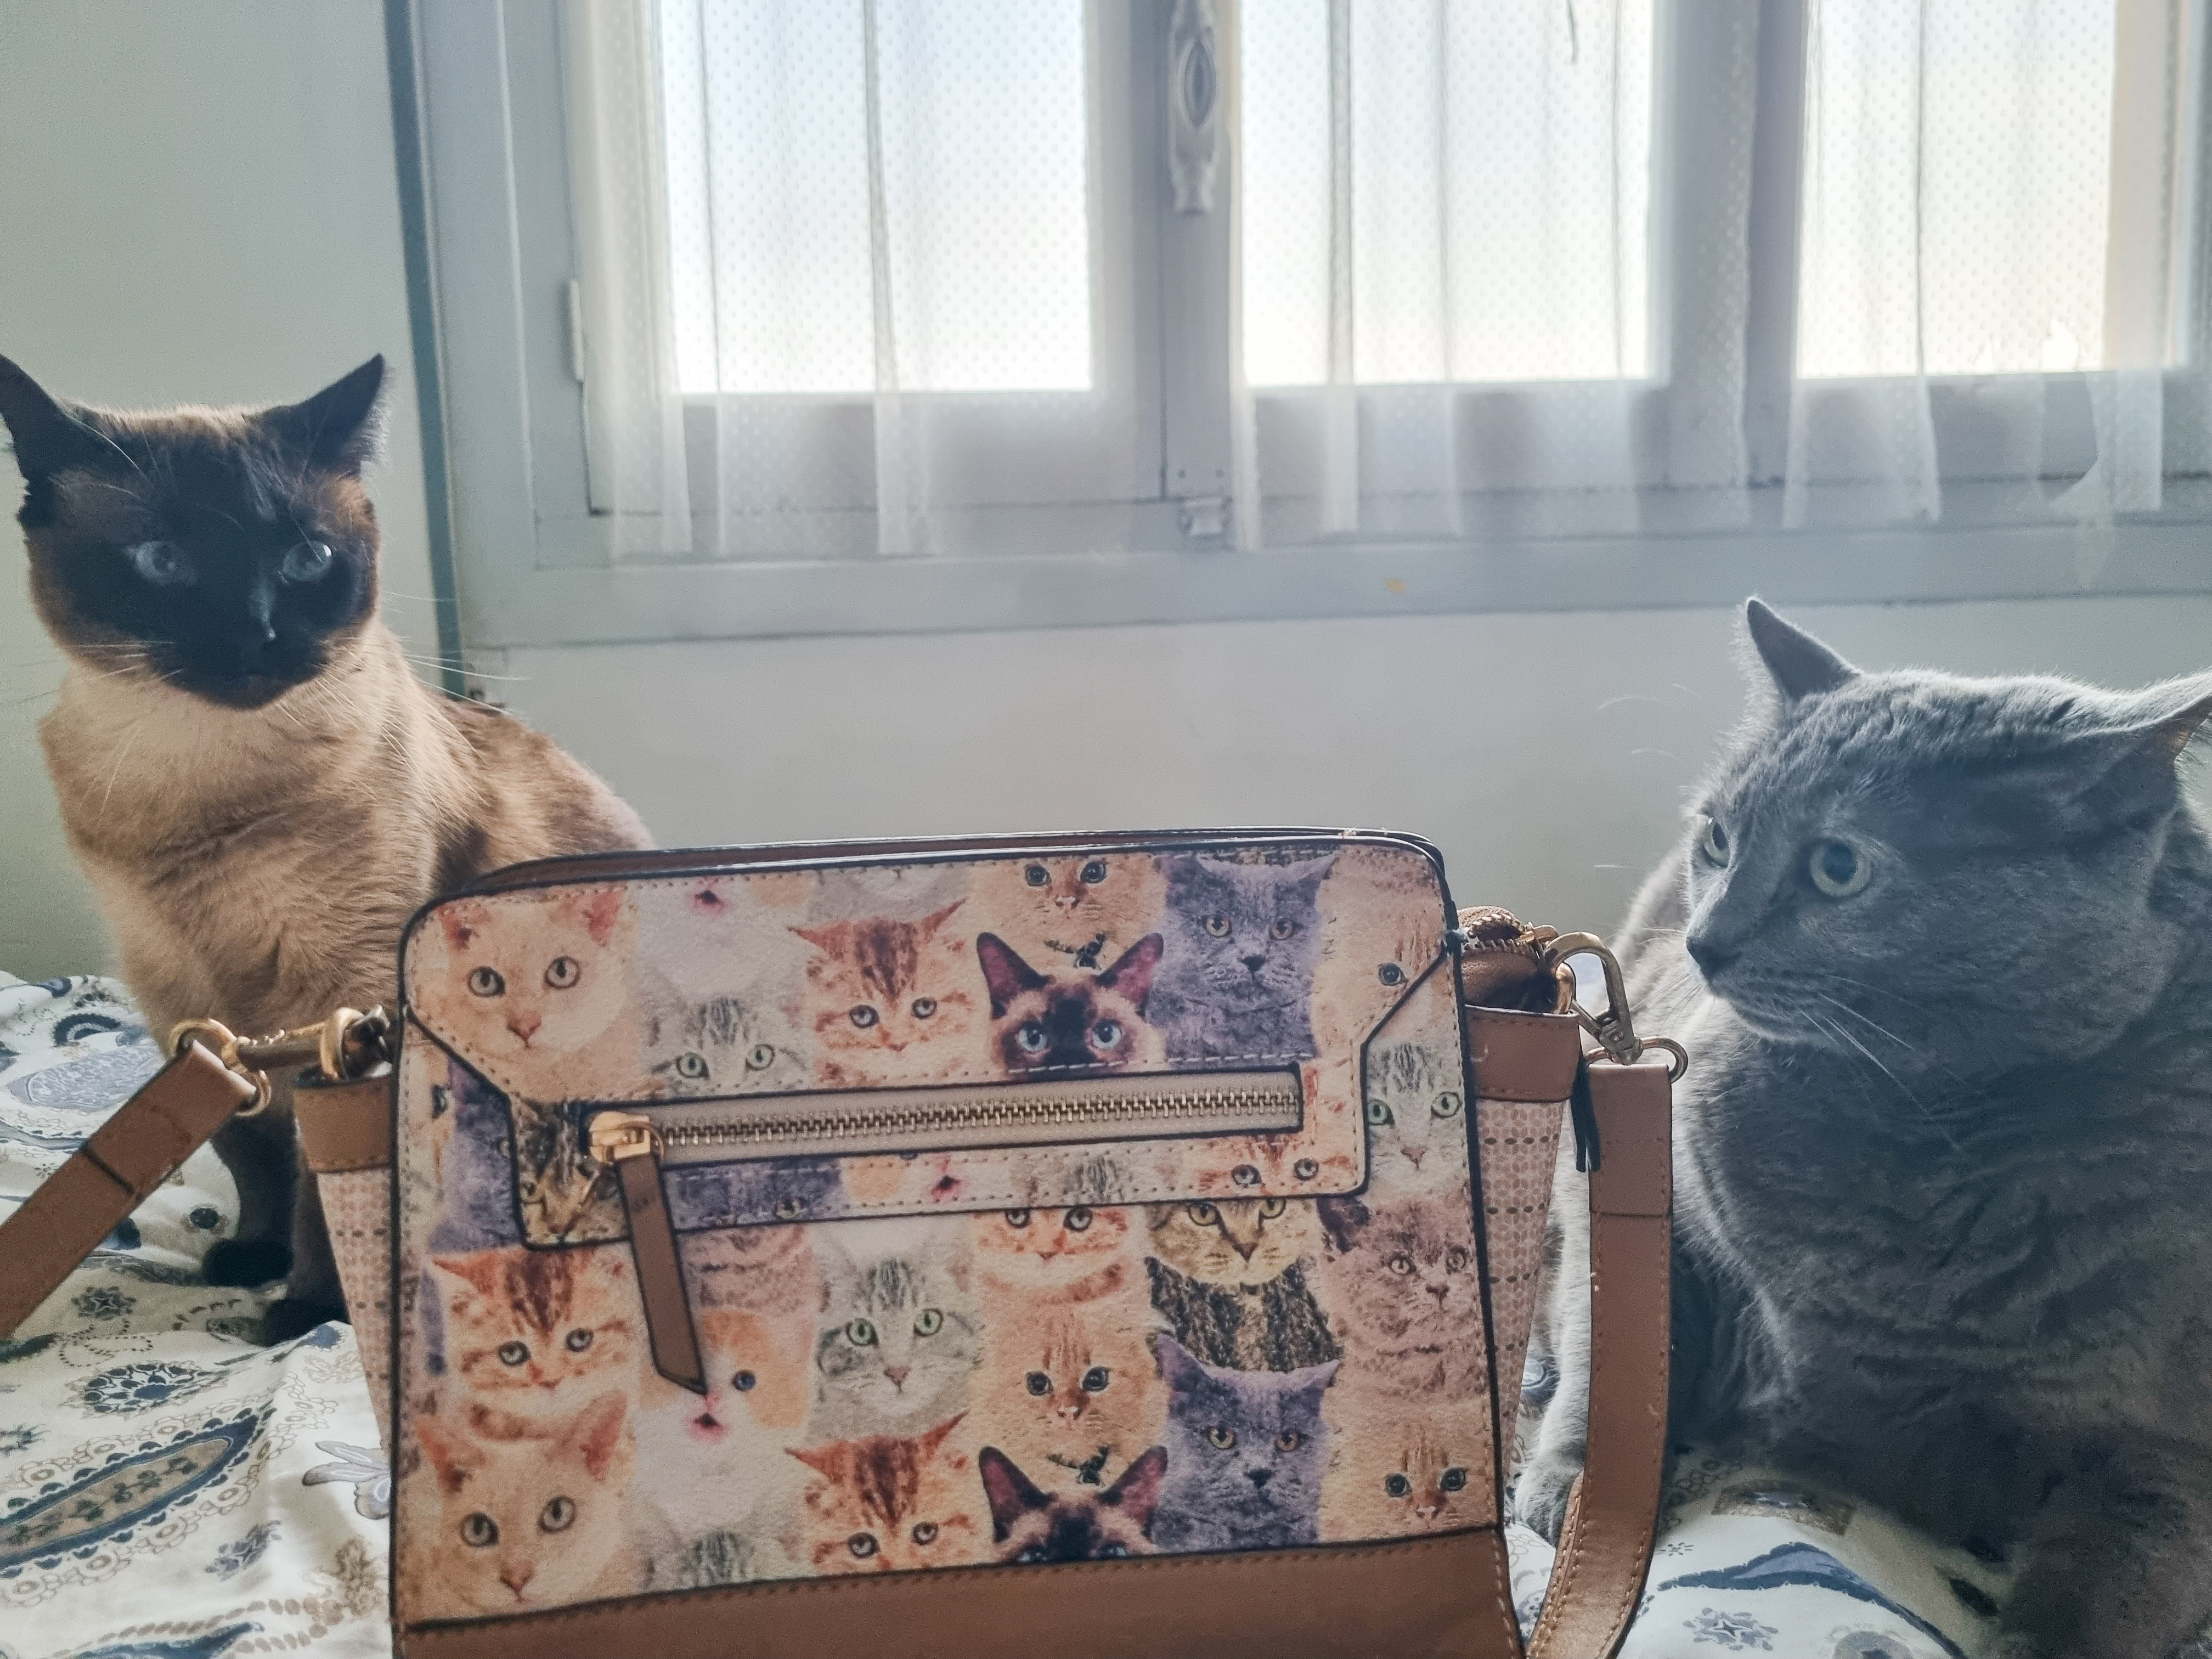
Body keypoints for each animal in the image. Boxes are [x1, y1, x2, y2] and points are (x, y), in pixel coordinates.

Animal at [1, 352, 648, 1340]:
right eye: (164, 561)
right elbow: (250, 1150)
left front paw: (308, 1307)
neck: (197, 792)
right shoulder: (184, 1006)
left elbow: (315, 1174)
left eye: (307, 560)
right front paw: (251, 1257)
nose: (259, 636)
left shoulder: (339, 1006)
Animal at [1522, 600, 2212, 1659]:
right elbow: (1618, 1345)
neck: (1928, 1121)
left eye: (1838, 866)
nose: (1704, 941)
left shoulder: (2171, 1453)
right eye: (1719, 838)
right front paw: (1573, 1495)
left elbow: (2106, 1593)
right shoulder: (1654, 1206)